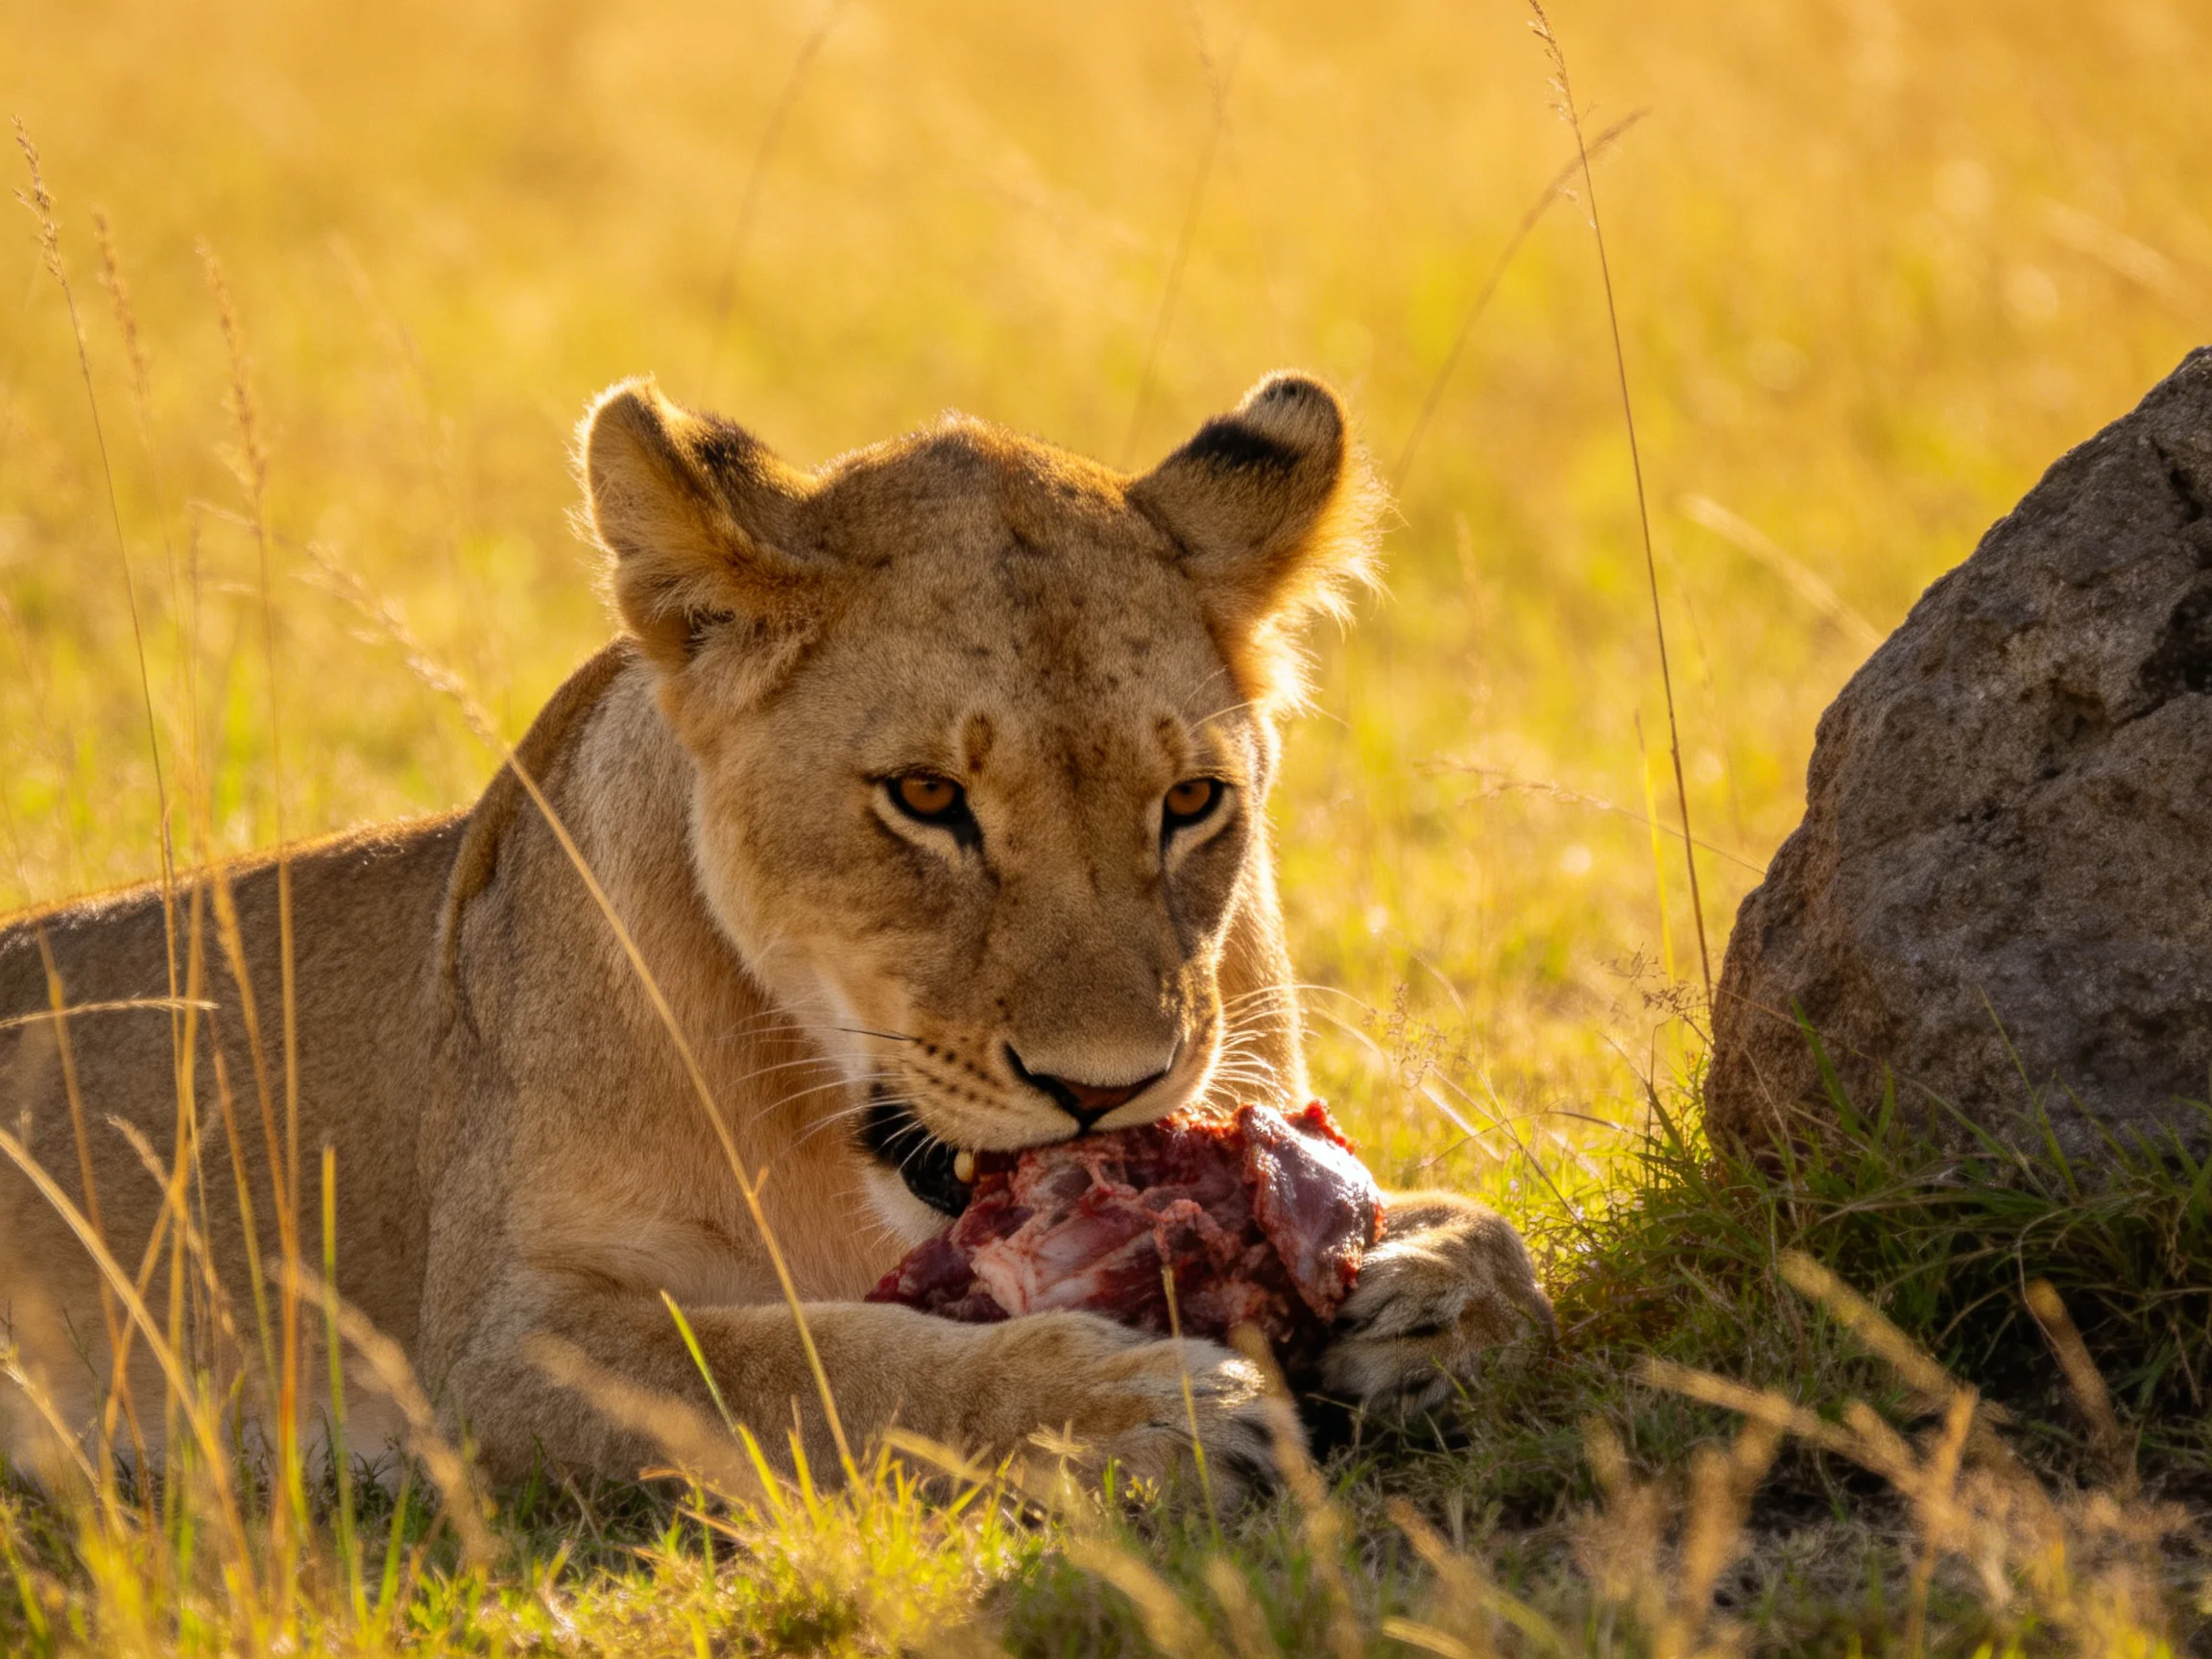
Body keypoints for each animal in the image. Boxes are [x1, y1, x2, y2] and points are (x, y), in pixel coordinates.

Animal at [0, 372, 1552, 1499]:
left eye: (1188, 802)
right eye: (925, 798)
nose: (1103, 1090)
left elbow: (1493, 1239)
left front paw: (1427, 1285)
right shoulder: (499, 1345)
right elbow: (808, 1367)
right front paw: (1130, 1410)